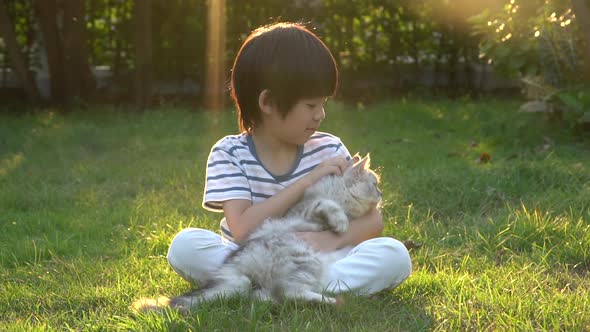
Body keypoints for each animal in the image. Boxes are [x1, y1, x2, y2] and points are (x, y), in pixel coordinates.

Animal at [133, 154, 384, 312]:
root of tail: (235, 270)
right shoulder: (308, 211)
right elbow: (329, 207)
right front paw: (340, 223)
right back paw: (330, 302)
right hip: (304, 258)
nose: (382, 195)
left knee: (270, 296)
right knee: (289, 293)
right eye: (375, 184)